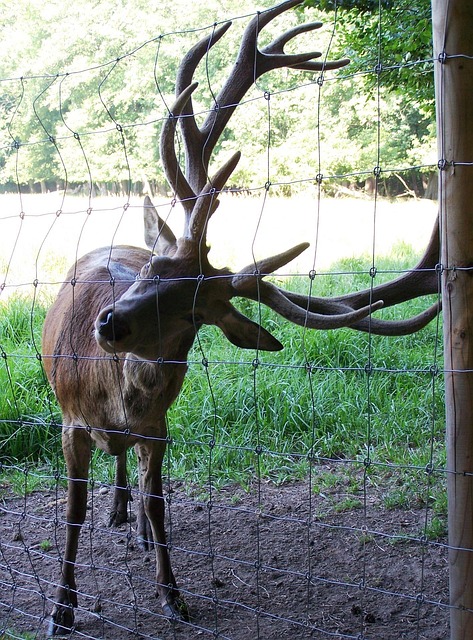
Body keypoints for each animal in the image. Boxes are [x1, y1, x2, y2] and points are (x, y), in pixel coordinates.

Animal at [41, 0, 441, 634]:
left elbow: (160, 503)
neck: (116, 401)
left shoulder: (159, 426)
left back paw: (132, 519)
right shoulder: (70, 422)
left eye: (192, 310)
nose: (109, 325)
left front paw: (173, 594)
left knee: (133, 476)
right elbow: (73, 513)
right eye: (153, 268)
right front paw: (61, 609)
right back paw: (116, 512)